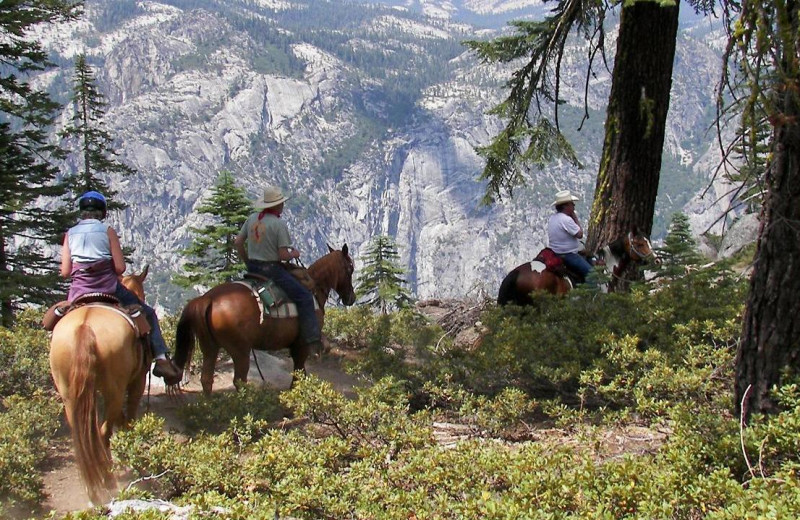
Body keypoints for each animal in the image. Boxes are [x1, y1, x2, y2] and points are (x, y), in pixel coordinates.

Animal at [48, 266, 153, 502]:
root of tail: (85, 326)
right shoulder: (137, 381)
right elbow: (129, 418)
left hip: (70, 394)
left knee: (86, 435)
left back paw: (94, 488)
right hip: (114, 390)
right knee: (103, 431)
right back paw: (109, 480)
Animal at [174, 244, 356, 394]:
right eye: (350, 269)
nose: (351, 298)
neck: (314, 288)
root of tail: (208, 298)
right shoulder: (302, 344)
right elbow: (299, 372)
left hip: (209, 347)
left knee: (207, 379)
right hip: (240, 349)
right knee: (239, 380)